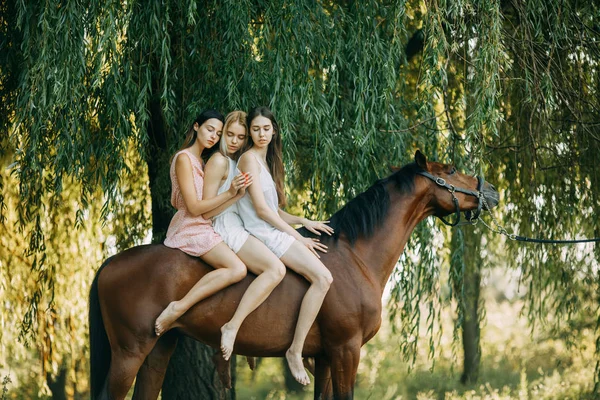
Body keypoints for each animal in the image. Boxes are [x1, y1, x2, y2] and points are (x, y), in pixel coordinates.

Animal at [88, 151, 496, 400]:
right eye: (451, 170)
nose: (490, 190)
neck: (354, 256)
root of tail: (110, 263)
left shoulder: (326, 357)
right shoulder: (346, 351)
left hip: (160, 347)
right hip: (129, 352)